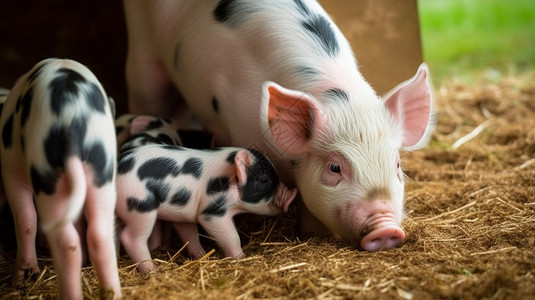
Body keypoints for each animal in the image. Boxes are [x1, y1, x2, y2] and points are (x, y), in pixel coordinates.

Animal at [0, 58, 122, 298]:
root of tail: (71, 119)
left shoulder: (10, 168)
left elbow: (26, 219)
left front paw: (20, 279)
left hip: (47, 174)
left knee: (66, 243)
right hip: (102, 170)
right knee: (100, 235)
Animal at [115, 144, 298, 274]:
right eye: (264, 179)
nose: (293, 193)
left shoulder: (185, 213)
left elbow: (190, 234)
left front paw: (203, 257)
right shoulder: (212, 213)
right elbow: (231, 236)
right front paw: (241, 258)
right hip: (141, 207)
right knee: (130, 238)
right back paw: (153, 272)